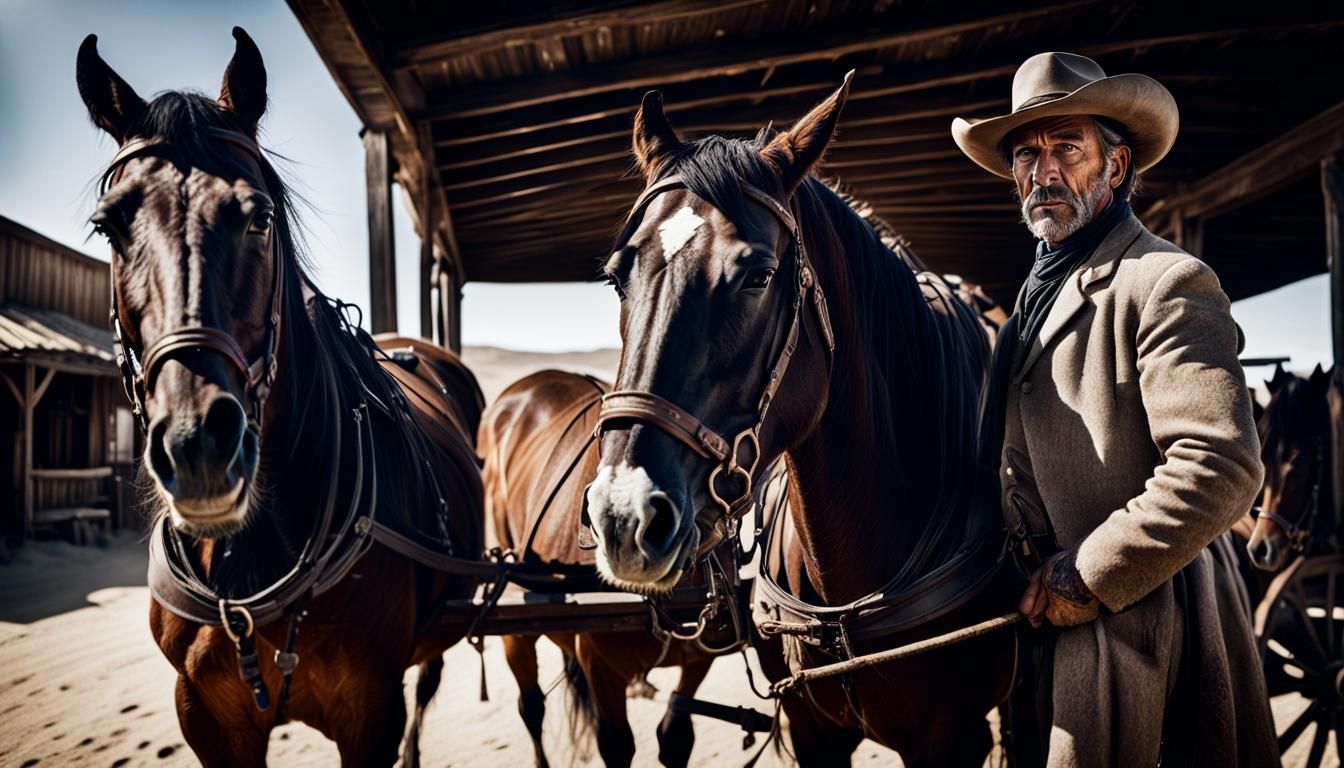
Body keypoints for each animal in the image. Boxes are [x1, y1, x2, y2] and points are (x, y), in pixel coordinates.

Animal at [478, 369, 747, 767]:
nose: (628, 522)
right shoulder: (601, 668)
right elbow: (617, 744)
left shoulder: (699, 659)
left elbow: (676, 736)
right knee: (531, 706)